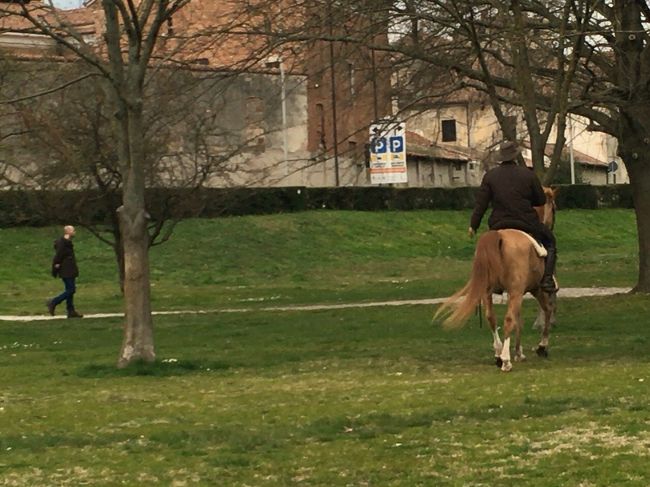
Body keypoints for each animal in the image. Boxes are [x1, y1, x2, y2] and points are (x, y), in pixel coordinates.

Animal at [432, 187, 556, 374]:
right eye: (554, 209)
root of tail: (499, 235)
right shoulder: (534, 289)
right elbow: (546, 310)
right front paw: (541, 347)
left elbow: (519, 319)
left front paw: (519, 352)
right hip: (519, 290)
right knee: (509, 319)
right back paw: (505, 360)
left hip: (488, 291)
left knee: (491, 318)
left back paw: (498, 354)